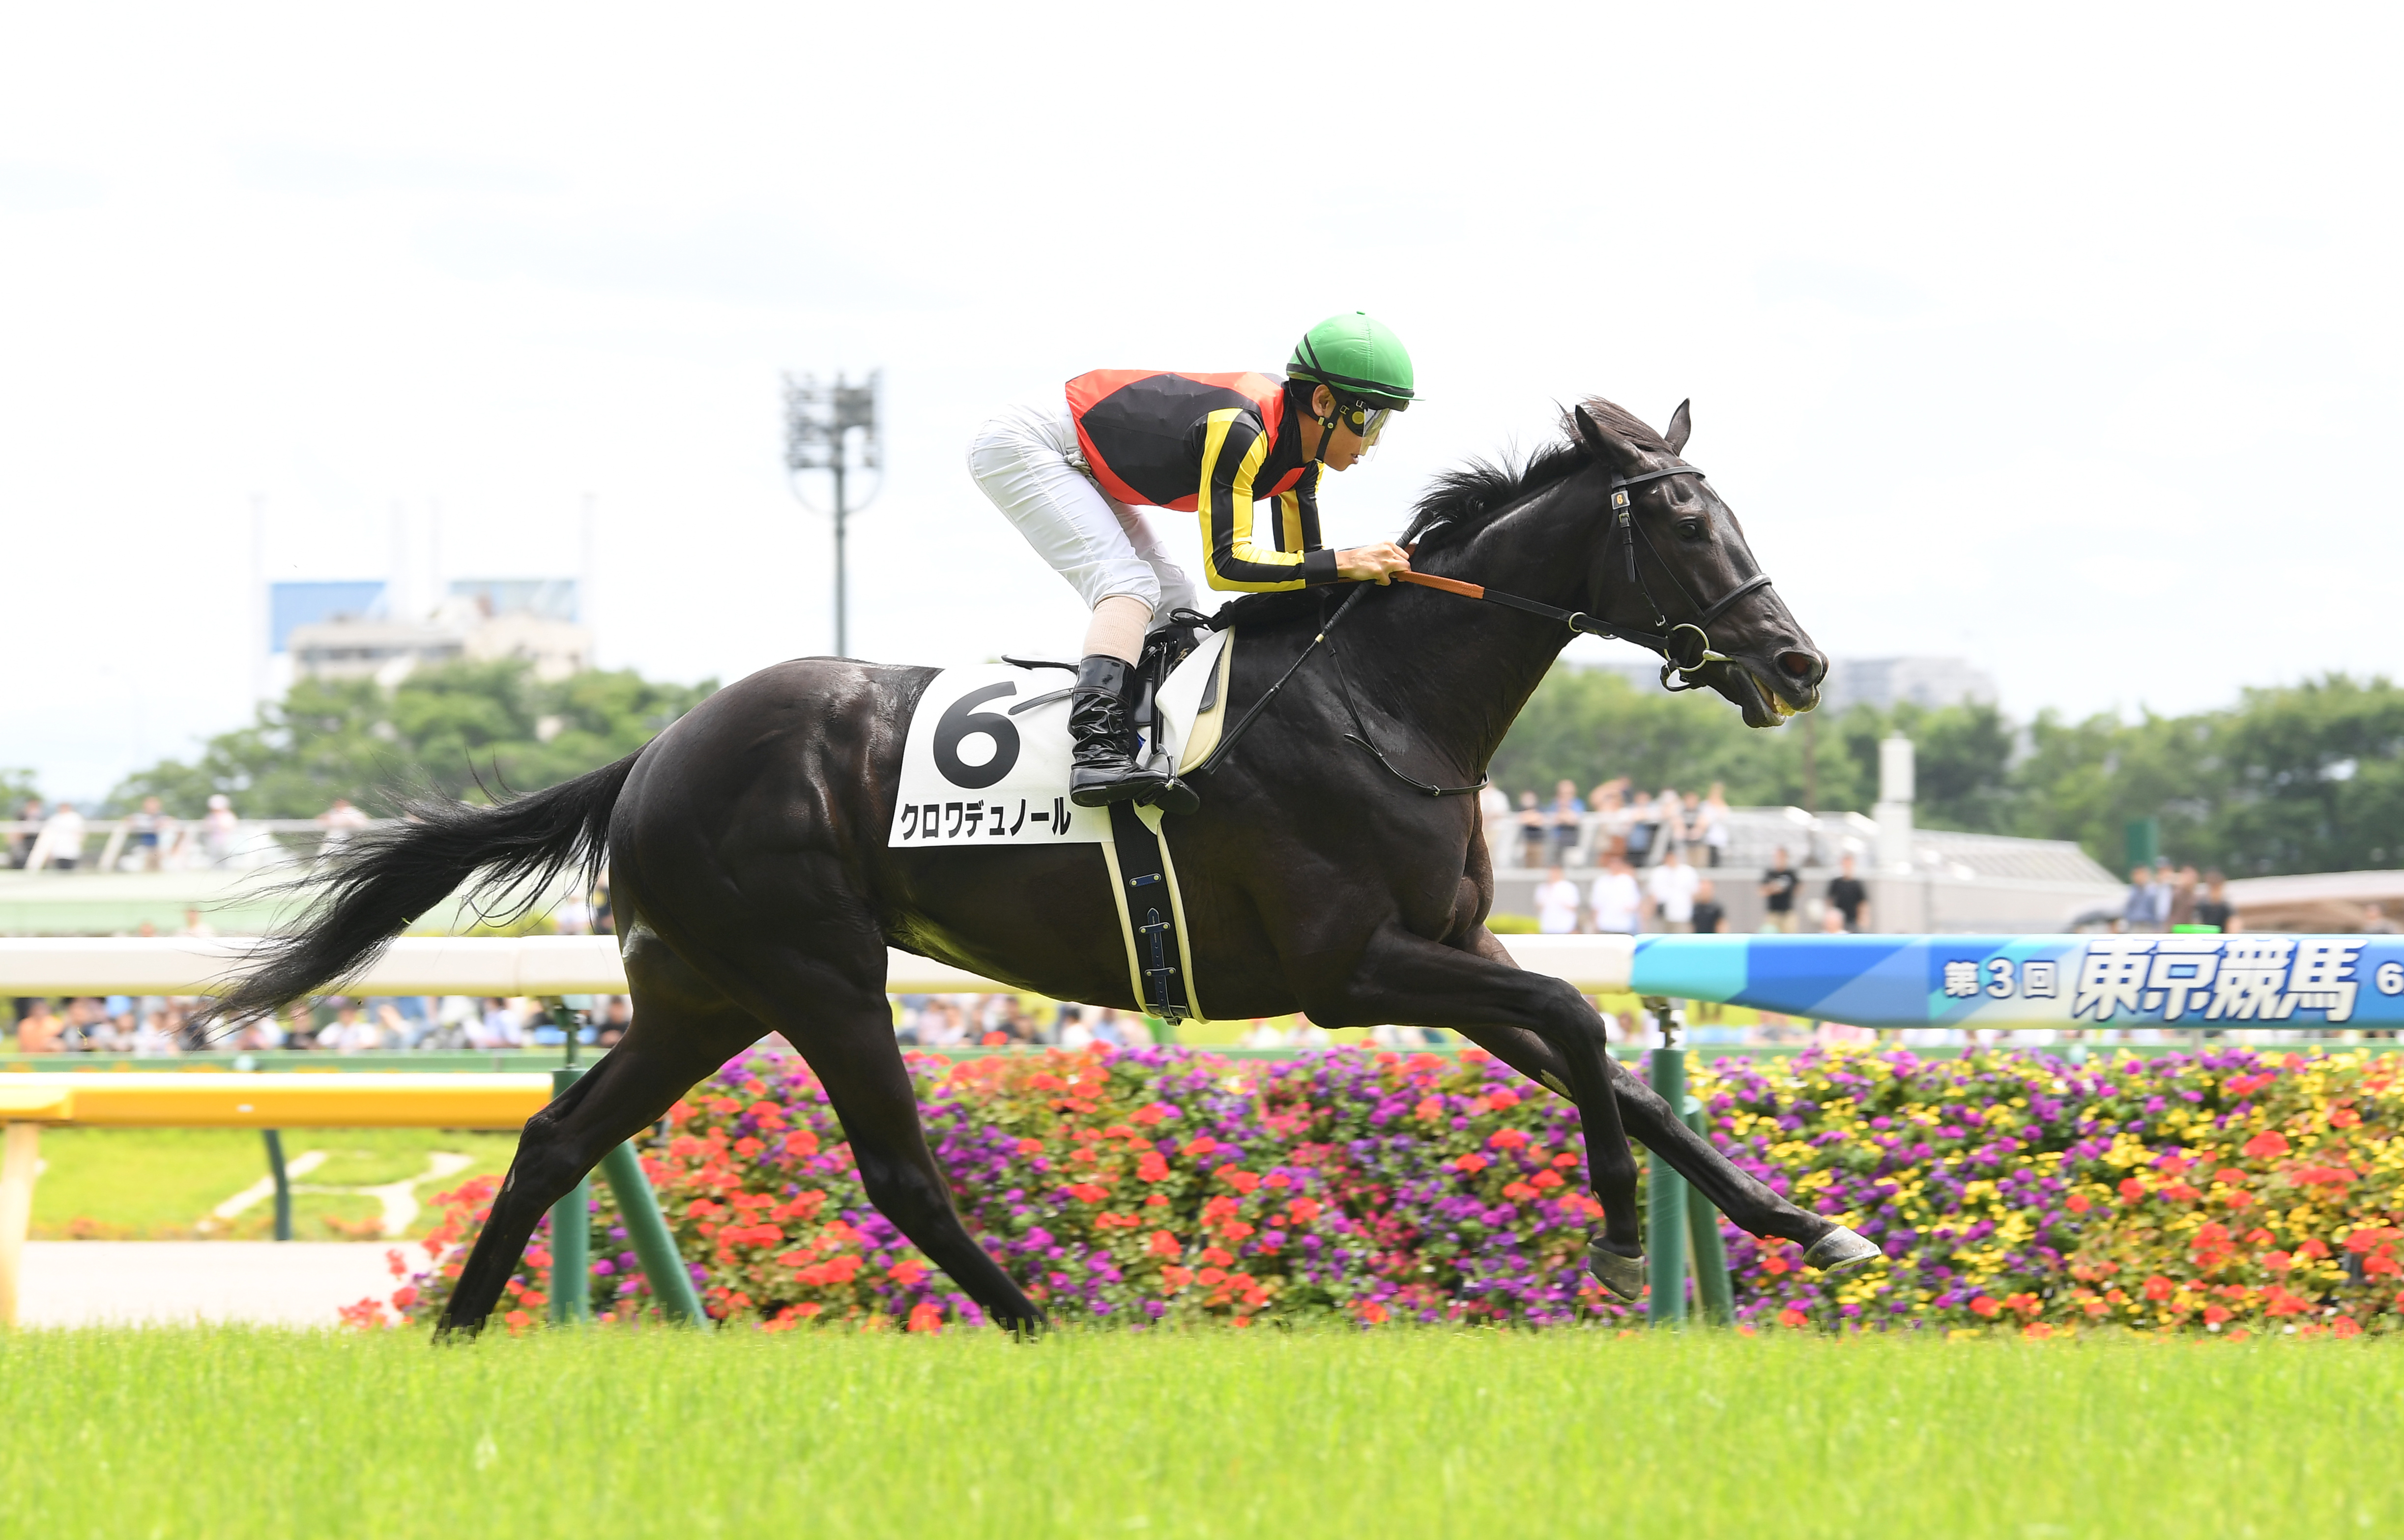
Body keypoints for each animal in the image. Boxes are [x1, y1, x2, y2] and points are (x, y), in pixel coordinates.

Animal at [211, 395, 1880, 1335]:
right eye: (1684, 521)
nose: (1799, 664)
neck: (1382, 697)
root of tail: (655, 751)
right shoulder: (1351, 969)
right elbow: (1591, 1026)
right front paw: (1617, 1239)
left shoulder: (1451, 960)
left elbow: (1609, 1066)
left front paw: (1806, 1224)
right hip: (819, 972)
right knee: (896, 1168)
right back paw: (1053, 1321)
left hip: (703, 992)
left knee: (560, 1136)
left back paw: (459, 1337)